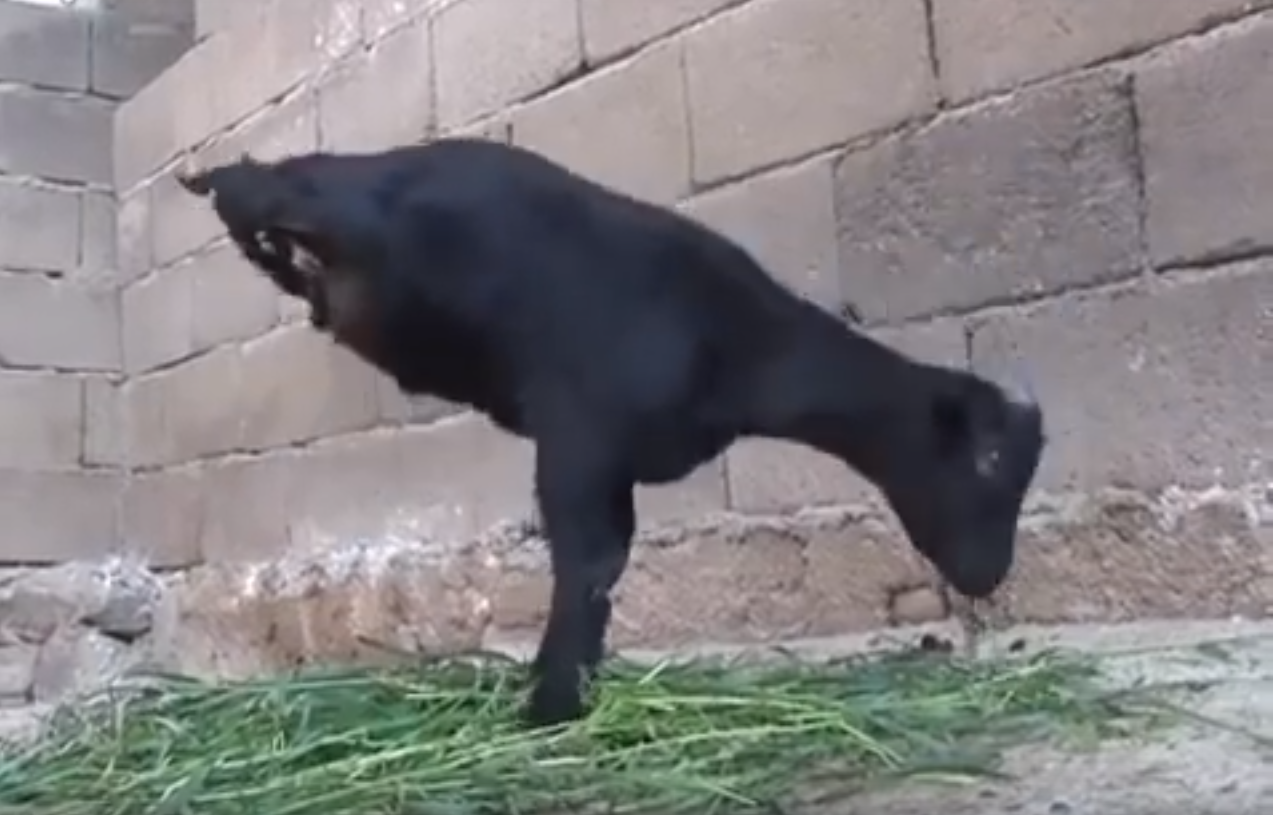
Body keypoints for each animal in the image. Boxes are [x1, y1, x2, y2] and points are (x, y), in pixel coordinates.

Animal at [177, 139, 1047, 728]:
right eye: (988, 458)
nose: (989, 574)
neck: (738, 349)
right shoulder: (579, 434)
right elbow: (589, 560)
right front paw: (548, 706)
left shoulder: (611, 459)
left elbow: (606, 563)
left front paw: (565, 693)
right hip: (334, 205)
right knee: (264, 188)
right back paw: (220, 184)